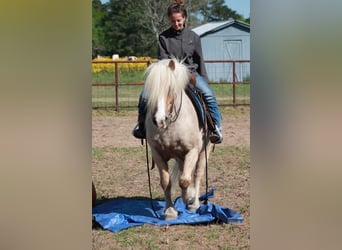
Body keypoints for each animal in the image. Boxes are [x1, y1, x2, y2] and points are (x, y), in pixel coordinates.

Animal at [144, 58, 212, 219]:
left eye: (170, 88)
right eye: (150, 90)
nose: (159, 120)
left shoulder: (192, 151)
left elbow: (185, 180)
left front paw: (189, 200)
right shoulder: (157, 153)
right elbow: (166, 182)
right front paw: (170, 211)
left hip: (205, 150)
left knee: (197, 174)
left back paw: (194, 203)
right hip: (180, 156)